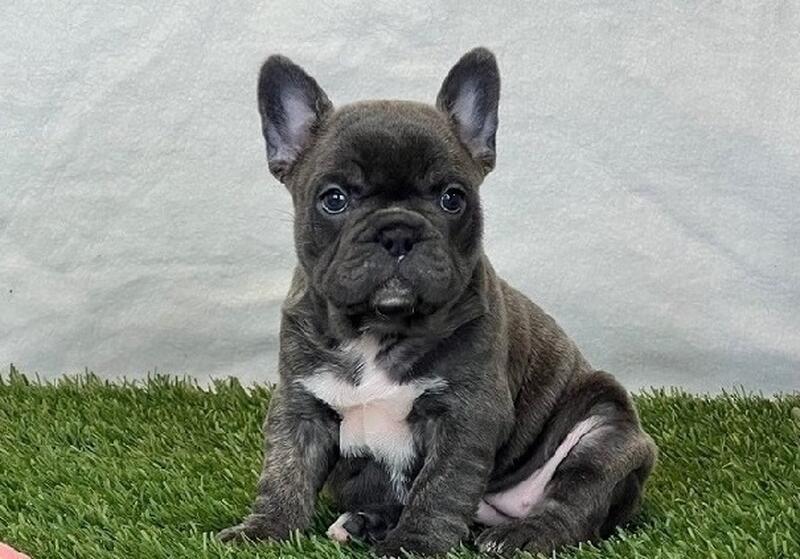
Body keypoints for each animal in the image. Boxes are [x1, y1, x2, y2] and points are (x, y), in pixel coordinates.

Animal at [217, 47, 657, 556]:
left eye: (451, 198)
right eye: (334, 199)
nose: (397, 232)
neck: (378, 329)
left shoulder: (466, 415)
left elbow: (441, 487)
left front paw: (414, 544)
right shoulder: (300, 406)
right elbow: (285, 471)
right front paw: (264, 530)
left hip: (604, 435)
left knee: (575, 497)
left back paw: (523, 534)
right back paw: (366, 522)